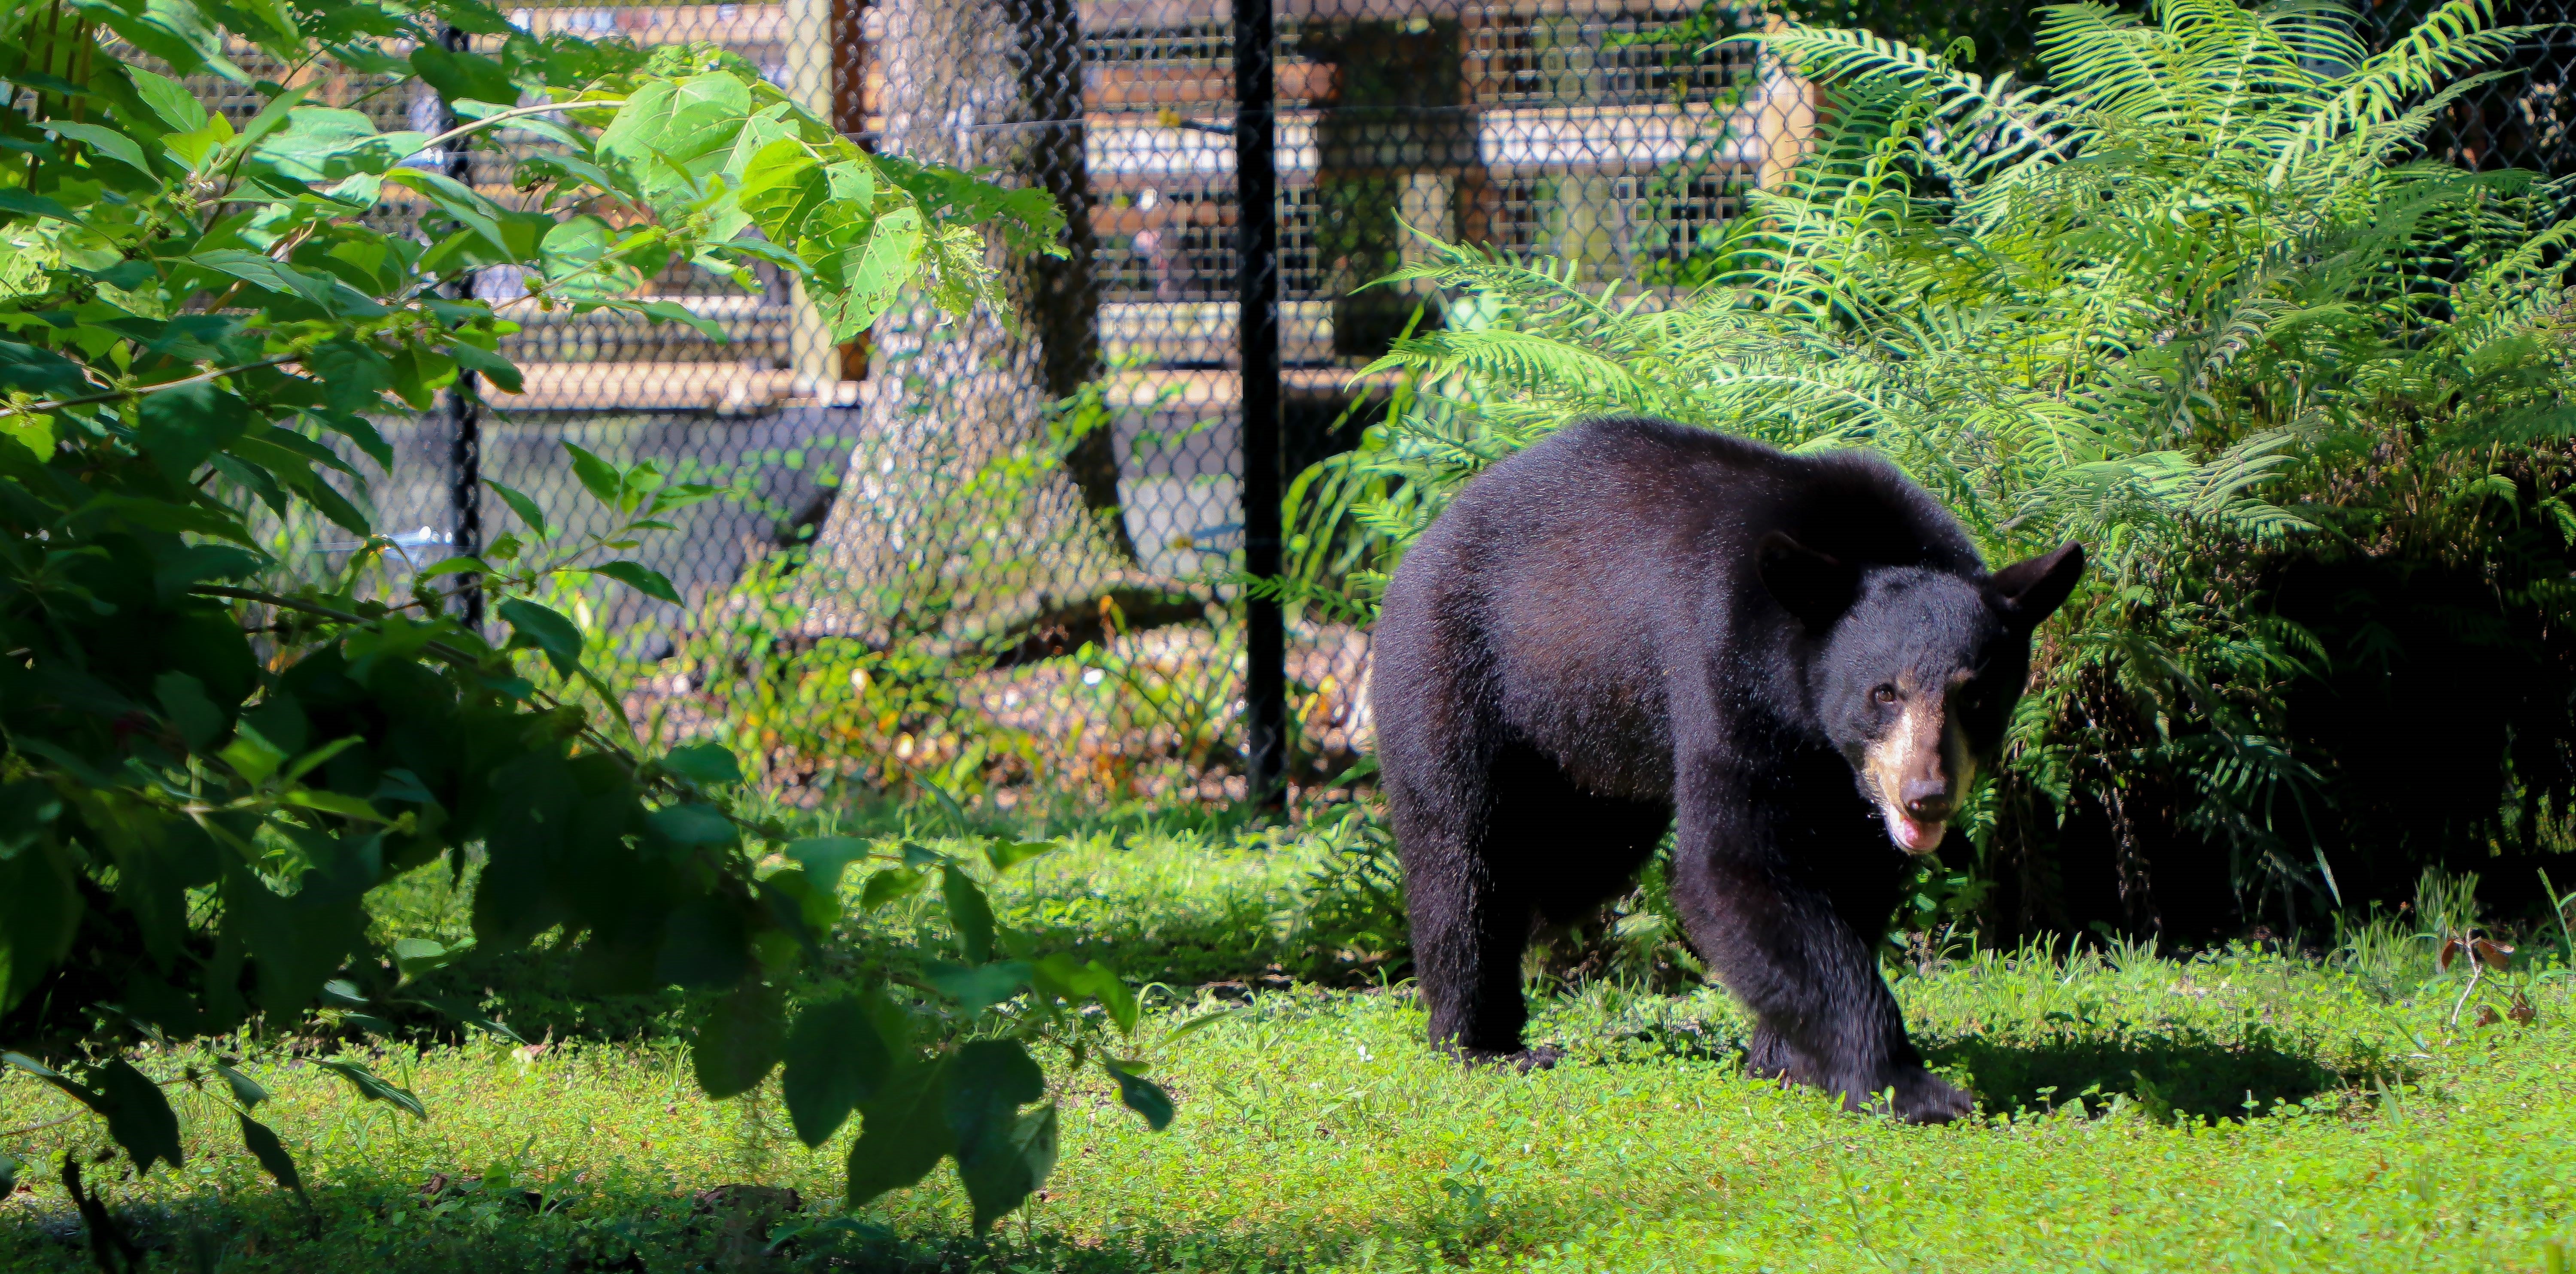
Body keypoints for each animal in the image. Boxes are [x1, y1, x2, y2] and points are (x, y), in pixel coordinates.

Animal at [1381, 414, 2081, 1122]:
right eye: (1884, 693)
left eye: (1976, 695)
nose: (1925, 797)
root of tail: (1422, 541)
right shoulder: (1724, 663)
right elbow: (1736, 864)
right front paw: (1908, 1084)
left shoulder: (1842, 781)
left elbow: (1852, 876)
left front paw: (1787, 1057)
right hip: (1457, 671)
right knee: (1464, 859)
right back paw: (1483, 1041)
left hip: (1593, 763)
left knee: (1565, 867)